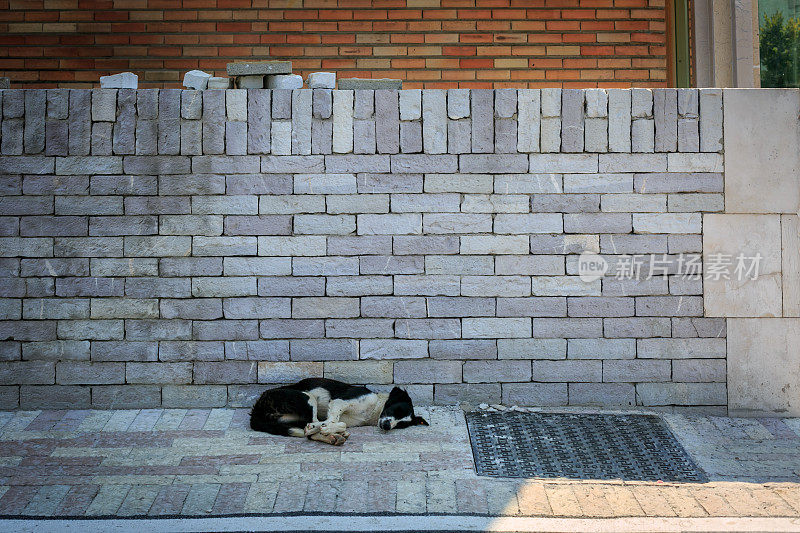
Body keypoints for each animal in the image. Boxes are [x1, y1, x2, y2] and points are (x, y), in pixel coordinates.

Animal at [248, 378, 428, 444]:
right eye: (397, 410)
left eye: (401, 425)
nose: (387, 426)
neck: (374, 409)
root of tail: (256, 410)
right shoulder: (339, 402)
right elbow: (334, 421)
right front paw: (328, 428)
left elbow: (340, 423)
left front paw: (330, 430)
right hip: (307, 397)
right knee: (312, 424)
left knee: (308, 432)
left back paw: (332, 437)